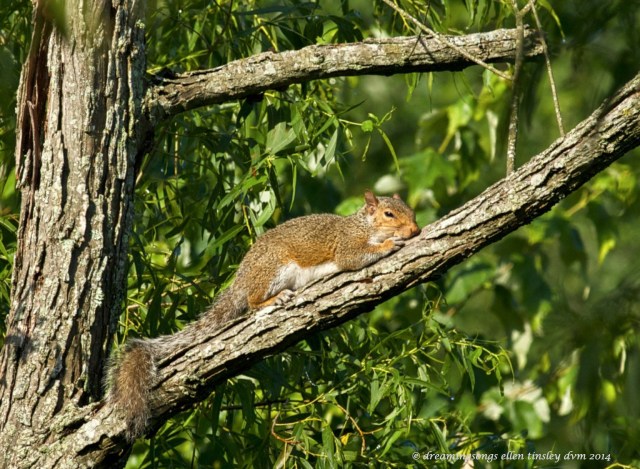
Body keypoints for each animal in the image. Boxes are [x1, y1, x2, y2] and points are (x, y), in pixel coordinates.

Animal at [107, 190, 420, 440]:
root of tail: (242, 280)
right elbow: (354, 257)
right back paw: (274, 298)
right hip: (274, 269)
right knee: (253, 302)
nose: (416, 231)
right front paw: (389, 245)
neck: (363, 225)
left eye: (411, 210)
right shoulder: (346, 245)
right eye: (389, 214)